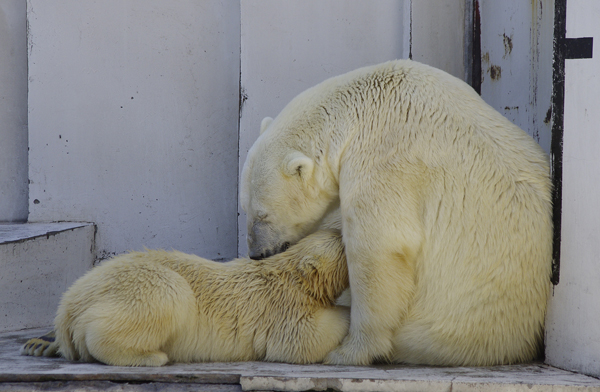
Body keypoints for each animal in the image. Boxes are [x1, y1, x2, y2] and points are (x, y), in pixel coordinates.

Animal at [241, 59, 552, 366]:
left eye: (263, 214)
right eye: (245, 209)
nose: (256, 253)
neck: (361, 109)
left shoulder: (385, 159)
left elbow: (378, 249)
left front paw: (348, 352)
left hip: (447, 330)